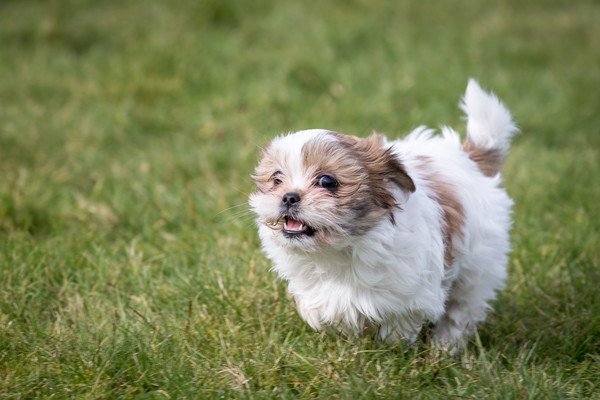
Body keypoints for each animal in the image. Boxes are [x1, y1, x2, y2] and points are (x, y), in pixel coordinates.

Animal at [248, 79, 516, 348]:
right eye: (277, 179)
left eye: (327, 181)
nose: (289, 196)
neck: (338, 252)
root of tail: (469, 158)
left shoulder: (410, 295)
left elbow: (399, 323)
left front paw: (393, 349)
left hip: (478, 266)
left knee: (462, 308)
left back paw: (445, 345)